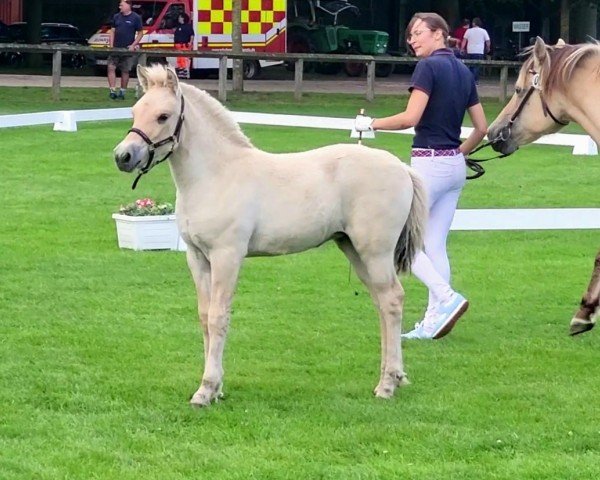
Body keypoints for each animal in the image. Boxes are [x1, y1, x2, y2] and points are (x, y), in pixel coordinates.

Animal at [112, 64, 428, 404]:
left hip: (375, 252)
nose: (123, 156)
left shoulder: (227, 256)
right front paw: (215, 388)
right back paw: (392, 378)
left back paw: (387, 385)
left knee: (393, 300)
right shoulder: (197, 258)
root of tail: (402, 168)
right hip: (353, 249)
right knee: (382, 303)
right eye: (135, 111)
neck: (215, 175)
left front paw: (206, 389)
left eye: (163, 116)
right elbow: (204, 317)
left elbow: (218, 317)